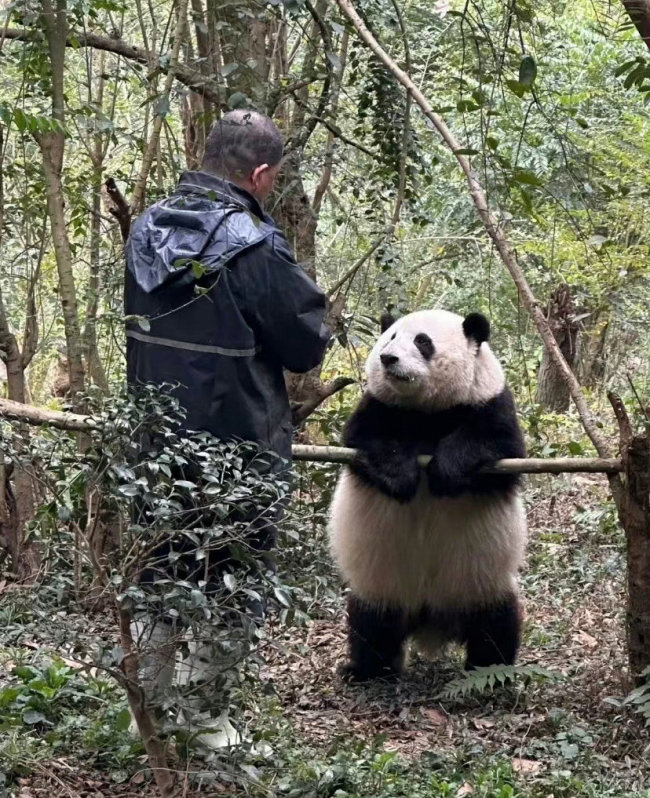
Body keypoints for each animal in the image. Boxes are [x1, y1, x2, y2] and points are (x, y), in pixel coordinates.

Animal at [330, 310, 528, 684]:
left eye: (423, 341)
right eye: (391, 337)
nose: (387, 358)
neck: (427, 410)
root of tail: (431, 620)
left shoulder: (489, 401)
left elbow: (496, 443)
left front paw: (444, 471)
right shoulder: (377, 406)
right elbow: (366, 439)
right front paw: (403, 475)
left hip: (481, 583)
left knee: (498, 624)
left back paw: (491, 672)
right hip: (383, 586)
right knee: (370, 626)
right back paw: (365, 670)